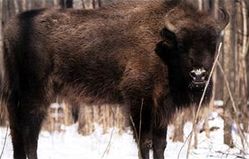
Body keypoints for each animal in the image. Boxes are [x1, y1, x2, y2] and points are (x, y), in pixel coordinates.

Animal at [1, 0, 228, 159]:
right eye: (182, 45)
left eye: (213, 43)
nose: (198, 75)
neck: (163, 46)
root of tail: (8, 29)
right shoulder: (139, 102)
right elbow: (145, 142)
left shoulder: (162, 108)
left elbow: (160, 144)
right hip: (36, 96)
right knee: (30, 135)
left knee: (17, 133)